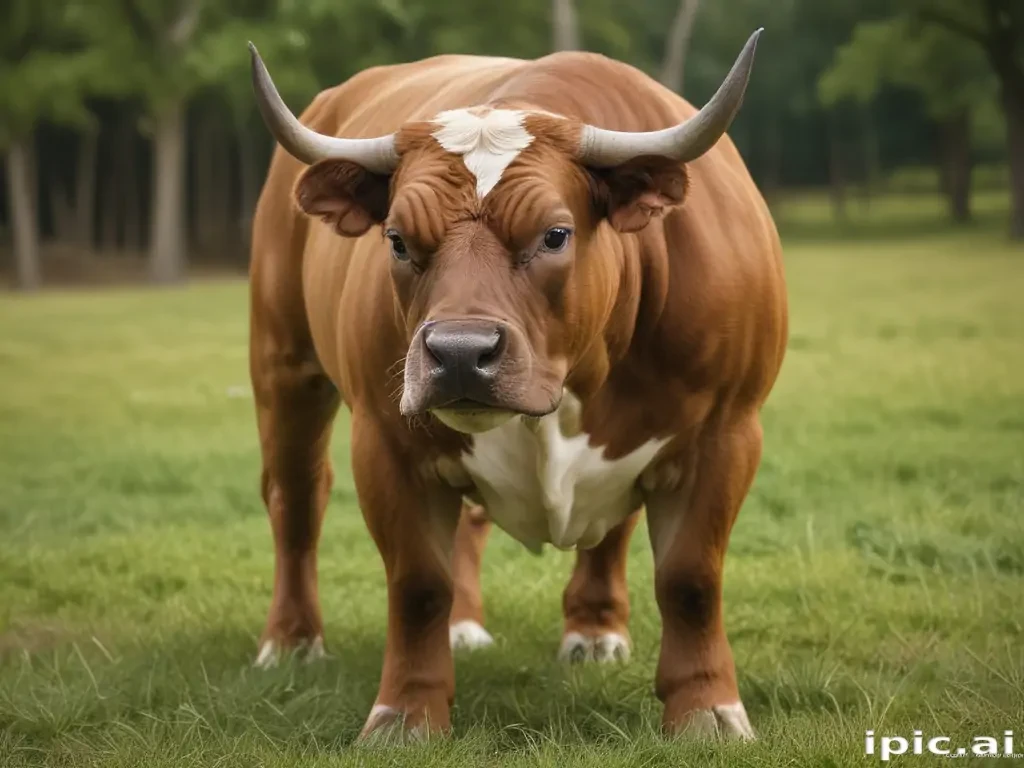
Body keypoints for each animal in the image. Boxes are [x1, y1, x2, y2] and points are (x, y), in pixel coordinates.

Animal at [247, 29, 787, 742]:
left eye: (555, 234)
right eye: (396, 239)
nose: (458, 355)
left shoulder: (726, 433)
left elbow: (690, 578)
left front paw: (706, 709)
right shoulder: (387, 445)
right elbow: (417, 584)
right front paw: (405, 713)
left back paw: (587, 631)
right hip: (285, 365)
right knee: (297, 499)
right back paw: (292, 641)